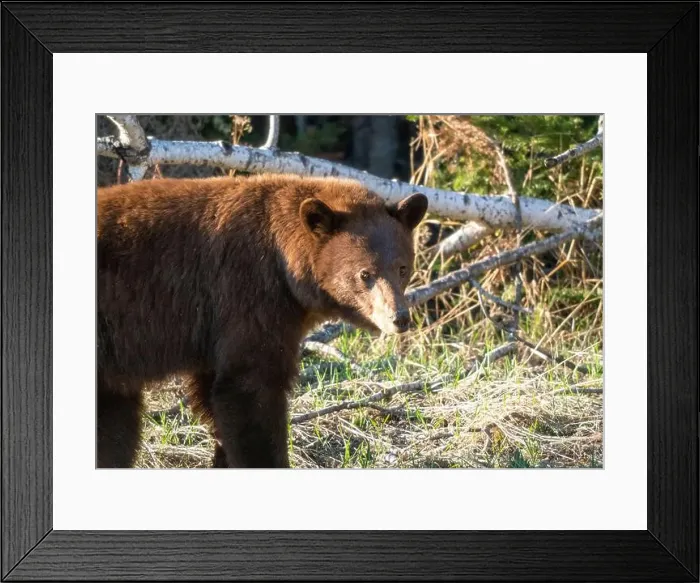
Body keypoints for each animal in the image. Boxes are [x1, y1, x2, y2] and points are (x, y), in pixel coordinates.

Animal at [97, 173, 428, 468]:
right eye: (364, 274)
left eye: (402, 267)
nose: (399, 318)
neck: (284, 265)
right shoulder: (248, 295)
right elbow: (250, 391)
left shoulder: (216, 330)